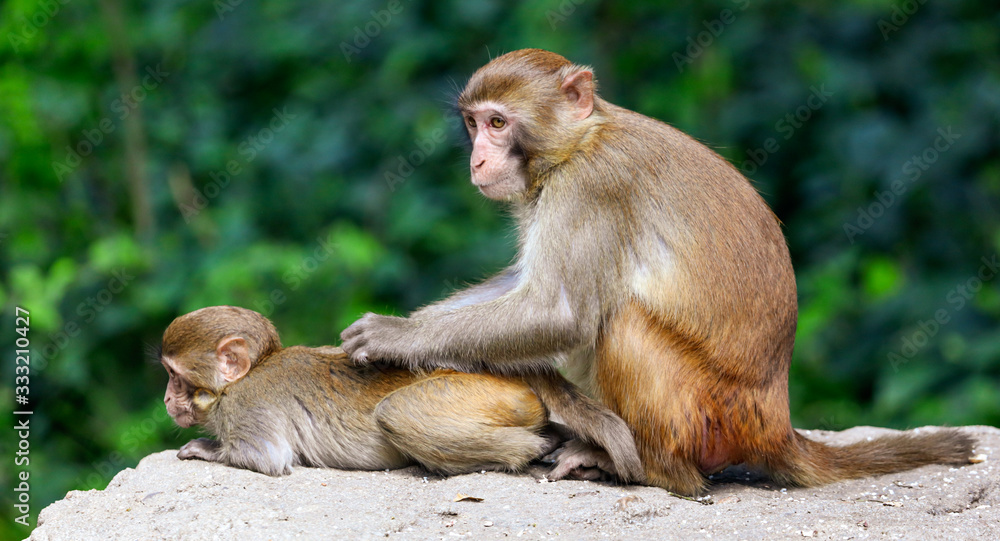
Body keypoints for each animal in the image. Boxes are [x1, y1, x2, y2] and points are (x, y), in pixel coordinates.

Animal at [160, 305, 643, 482]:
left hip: (478, 395)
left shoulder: (247, 406)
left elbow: (266, 459)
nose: (166, 399)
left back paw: (535, 448)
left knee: (396, 412)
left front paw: (205, 448)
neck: (245, 377)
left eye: (174, 376)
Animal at [340, 49, 976, 494]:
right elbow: (527, 288)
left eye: (498, 123)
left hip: (706, 412)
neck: (579, 142)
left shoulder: (593, 187)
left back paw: (648, 468)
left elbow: (560, 313)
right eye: (473, 124)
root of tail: (774, 420)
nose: (477, 159)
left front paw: (394, 336)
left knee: (622, 322)